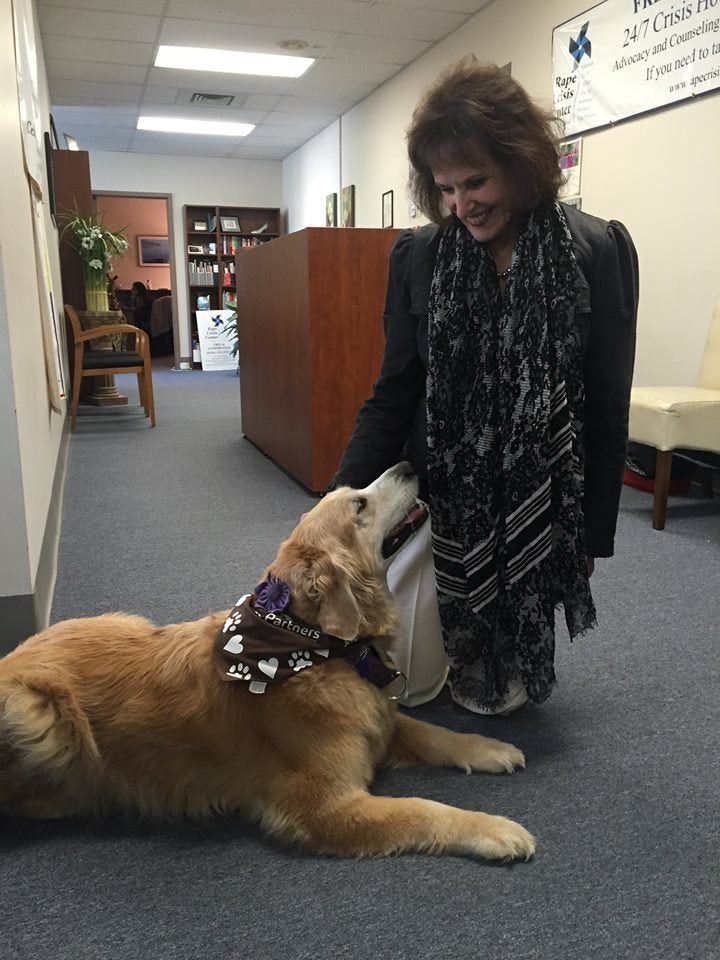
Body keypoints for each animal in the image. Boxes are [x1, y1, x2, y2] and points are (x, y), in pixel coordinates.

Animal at [0, 462, 536, 860]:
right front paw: (495, 830)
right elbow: (425, 809)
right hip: (38, 711)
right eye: (359, 504)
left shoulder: (378, 719)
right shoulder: (325, 806)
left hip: (123, 621)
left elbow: (434, 732)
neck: (314, 644)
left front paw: (489, 748)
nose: (407, 463)